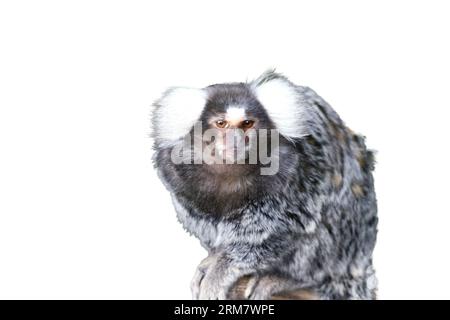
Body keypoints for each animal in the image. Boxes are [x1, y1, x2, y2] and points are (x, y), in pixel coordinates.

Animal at [151, 70, 376, 300]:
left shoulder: (298, 177)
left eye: (247, 123)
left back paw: (281, 280)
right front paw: (212, 260)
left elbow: (271, 237)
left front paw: (219, 273)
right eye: (221, 123)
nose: (235, 141)